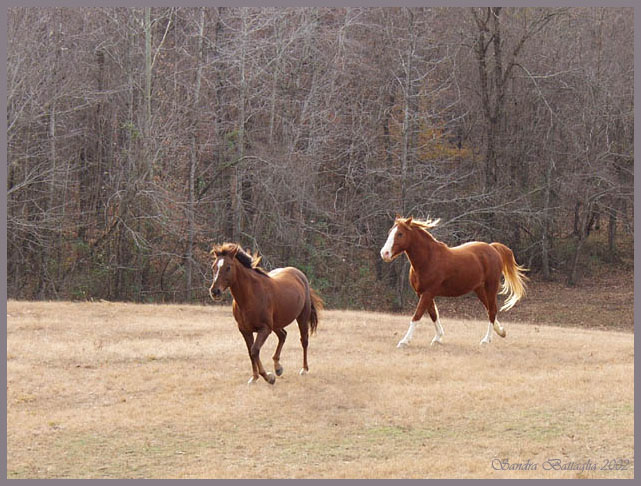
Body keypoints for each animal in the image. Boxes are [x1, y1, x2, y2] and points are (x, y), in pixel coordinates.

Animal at [209, 243, 320, 384]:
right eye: (213, 267)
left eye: (228, 267)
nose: (214, 291)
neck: (250, 296)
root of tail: (300, 275)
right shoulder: (245, 330)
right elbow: (250, 352)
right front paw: (255, 377)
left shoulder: (265, 329)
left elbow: (255, 350)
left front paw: (268, 377)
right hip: (276, 323)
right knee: (283, 335)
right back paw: (278, 367)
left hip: (302, 317)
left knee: (304, 340)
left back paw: (304, 369)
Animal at [380, 216, 524, 346]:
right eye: (390, 232)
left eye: (400, 234)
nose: (384, 253)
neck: (428, 259)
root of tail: (492, 247)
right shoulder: (422, 293)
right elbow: (433, 314)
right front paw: (438, 338)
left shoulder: (428, 293)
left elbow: (417, 315)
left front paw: (404, 341)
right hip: (479, 289)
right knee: (489, 310)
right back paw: (501, 332)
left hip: (491, 286)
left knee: (492, 311)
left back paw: (486, 340)